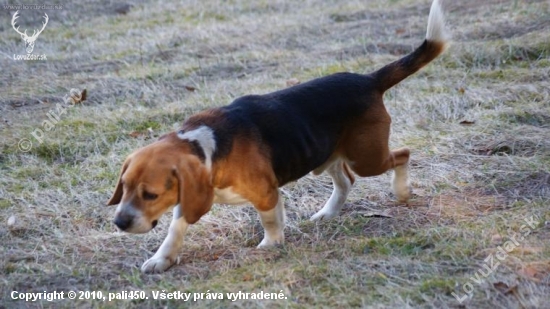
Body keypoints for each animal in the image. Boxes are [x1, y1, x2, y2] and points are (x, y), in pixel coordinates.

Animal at [109, 0, 452, 274]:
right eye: (124, 187)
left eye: (150, 195)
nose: (119, 223)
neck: (207, 146)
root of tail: (369, 80)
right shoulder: (189, 198)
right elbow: (175, 230)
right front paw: (162, 258)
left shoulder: (265, 193)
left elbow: (270, 220)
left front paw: (272, 244)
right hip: (329, 153)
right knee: (346, 182)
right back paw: (327, 213)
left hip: (366, 157)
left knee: (402, 154)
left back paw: (402, 190)